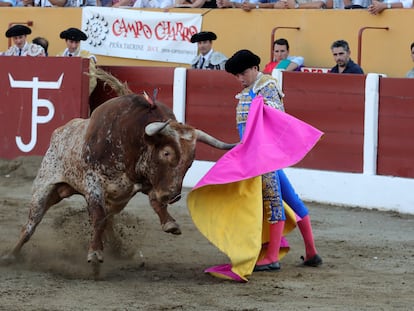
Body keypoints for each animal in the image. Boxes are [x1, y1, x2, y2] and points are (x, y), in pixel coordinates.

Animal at [2, 69, 236, 276]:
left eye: (190, 161)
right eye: (167, 152)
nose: (173, 195)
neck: (132, 142)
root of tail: (60, 132)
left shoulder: (145, 184)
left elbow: (151, 203)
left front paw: (170, 223)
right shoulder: (93, 183)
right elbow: (97, 217)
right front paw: (95, 254)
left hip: (113, 200)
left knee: (108, 220)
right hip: (45, 188)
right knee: (31, 225)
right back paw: (11, 255)